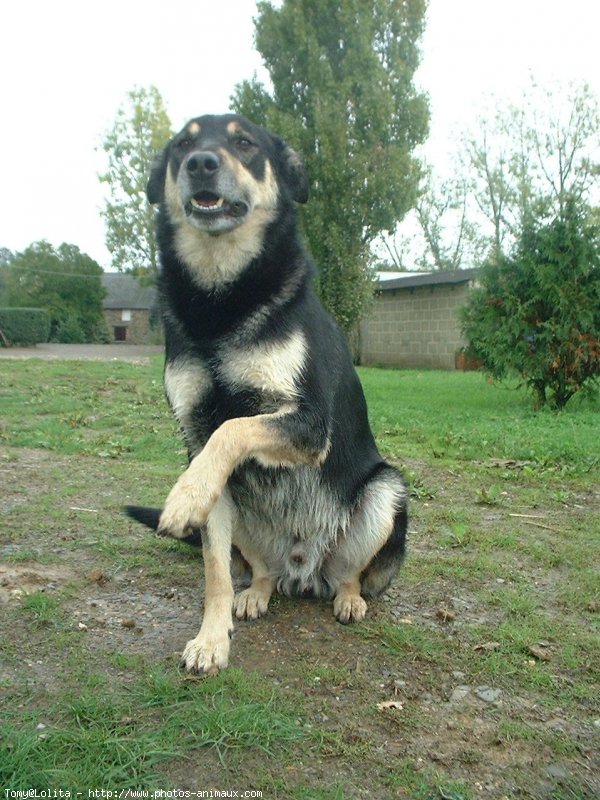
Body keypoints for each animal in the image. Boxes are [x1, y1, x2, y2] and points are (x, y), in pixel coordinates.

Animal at [126, 112, 408, 676]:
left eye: (243, 143)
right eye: (183, 144)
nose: (200, 163)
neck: (221, 295)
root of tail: (303, 572)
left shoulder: (309, 425)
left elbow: (235, 428)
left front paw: (183, 497)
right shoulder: (198, 442)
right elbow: (213, 567)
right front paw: (211, 640)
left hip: (385, 493)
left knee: (349, 573)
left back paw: (349, 598)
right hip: (250, 527)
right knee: (260, 572)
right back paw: (255, 593)